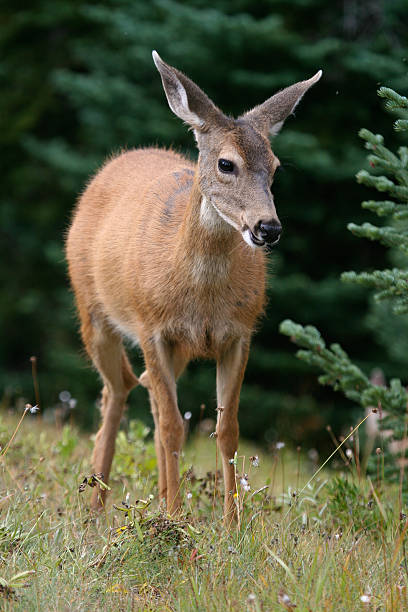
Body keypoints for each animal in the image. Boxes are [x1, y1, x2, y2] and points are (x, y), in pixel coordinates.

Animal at [66, 53, 322, 520]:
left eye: (275, 167)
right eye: (226, 164)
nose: (269, 227)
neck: (201, 296)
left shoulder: (239, 333)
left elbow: (227, 430)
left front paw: (231, 524)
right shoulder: (151, 327)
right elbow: (172, 428)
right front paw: (173, 519)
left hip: (178, 348)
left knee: (145, 392)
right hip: (93, 310)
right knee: (117, 391)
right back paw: (96, 504)